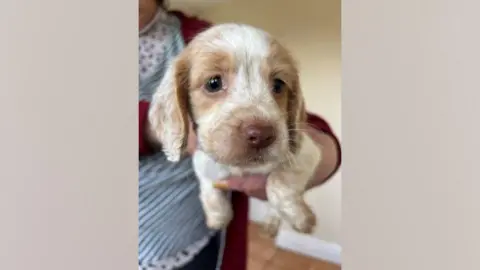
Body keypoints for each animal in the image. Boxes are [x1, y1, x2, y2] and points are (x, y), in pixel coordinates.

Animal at [149, 23, 322, 236]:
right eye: (213, 83)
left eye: (278, 84)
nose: (261, 135)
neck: (242, 167)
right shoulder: (203, 159)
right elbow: (209, 187)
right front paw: (218, 217)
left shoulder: (306, 151)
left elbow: (278, 183)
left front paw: (300, 218)